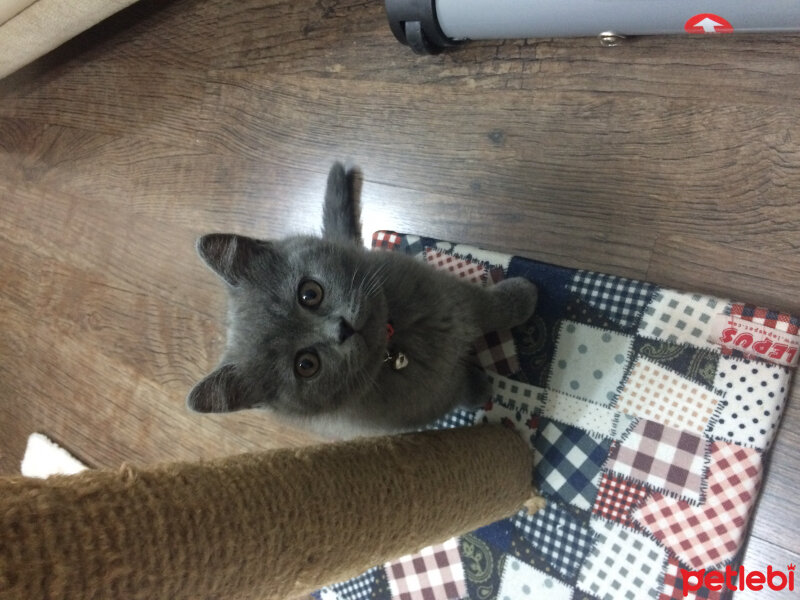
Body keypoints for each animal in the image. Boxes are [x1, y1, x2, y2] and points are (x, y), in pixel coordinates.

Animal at [189, 164, 536, 436]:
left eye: (309, 293)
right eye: (306, 365)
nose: (342, 329)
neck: (396, 344)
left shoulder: (450, 295)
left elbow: (488, 308)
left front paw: (523, 297)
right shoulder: (426, 403)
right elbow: (454, 391)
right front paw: (480, 388)